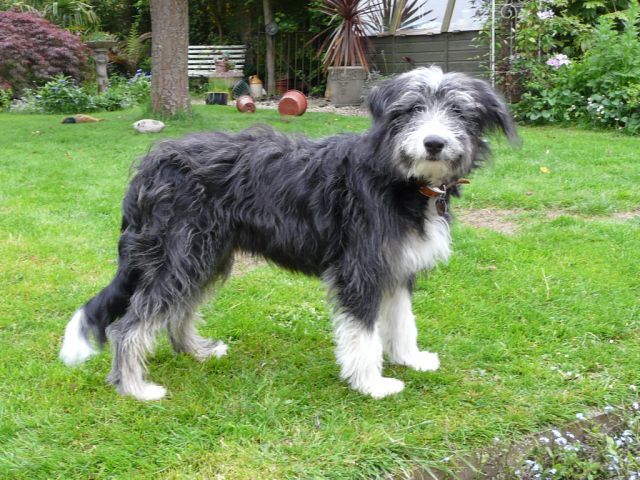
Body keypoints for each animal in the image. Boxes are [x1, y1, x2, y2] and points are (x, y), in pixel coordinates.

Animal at [60, 65, 516, 400]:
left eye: (459, 111)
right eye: (411, 109)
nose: (434, 143)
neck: (401, 179)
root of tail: (151, 166)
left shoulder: (396, 267)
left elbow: (403, 321)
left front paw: (410, 358)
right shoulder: (360, 268)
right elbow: (365, 334)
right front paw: (372, 383)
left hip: (204, 256)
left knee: (178, 311)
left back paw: (197, 351)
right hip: (181, 254)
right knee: (131, 324)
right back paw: (135, 387)